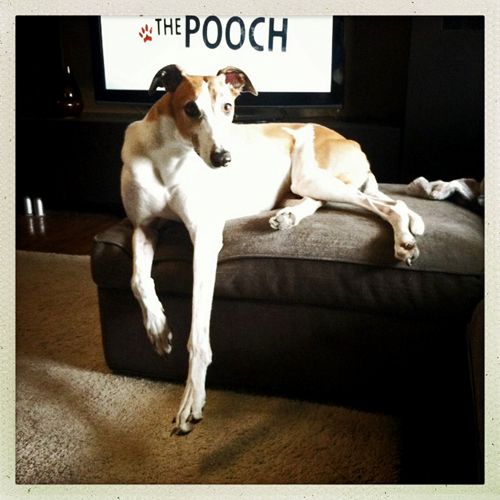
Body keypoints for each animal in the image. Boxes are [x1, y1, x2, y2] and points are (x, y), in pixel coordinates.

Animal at [121, 65, 426, 434]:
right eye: (191, 109)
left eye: (228, 107)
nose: (223, 159)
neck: (168, 158)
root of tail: (348, 140)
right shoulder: (143, 226)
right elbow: (138, 280)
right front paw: (157, 329)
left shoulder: (206, 236)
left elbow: (198, 332)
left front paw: (191, 400)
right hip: (305, 184)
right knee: (340, 201)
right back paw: (290, 216)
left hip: (312, 176)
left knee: (389, 204)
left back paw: (404, 240)